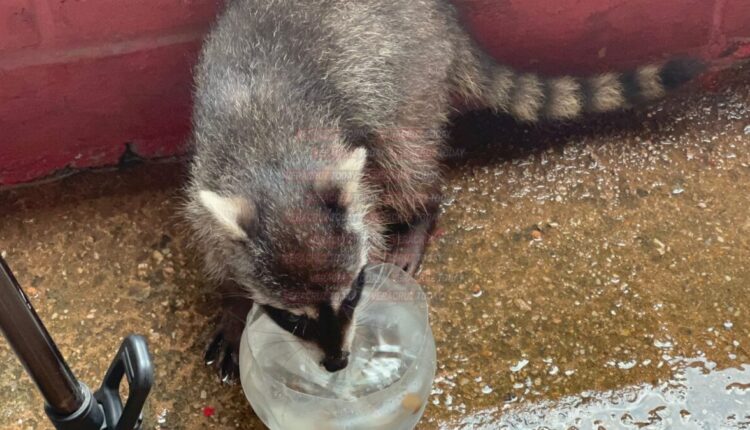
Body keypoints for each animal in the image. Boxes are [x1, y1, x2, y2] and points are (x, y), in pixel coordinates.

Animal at [185, 0, 704, 380]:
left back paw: (420, 211)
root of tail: (440, 17)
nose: (337, 363)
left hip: (409, 72)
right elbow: (216, 251)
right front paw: (233, 305)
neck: (273, 164)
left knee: (403, 154)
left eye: (352, 295)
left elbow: (375, 205)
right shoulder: (207, 171)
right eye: (293, 318)